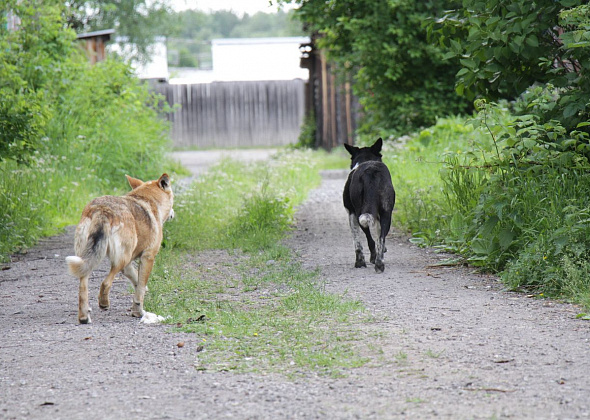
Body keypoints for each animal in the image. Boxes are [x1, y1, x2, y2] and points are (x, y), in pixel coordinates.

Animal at [67, 172, 175, 324]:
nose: (173, 213)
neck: (149, 200)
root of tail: (101, 210)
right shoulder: (148, 257)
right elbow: (140, 288)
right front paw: (138, 312)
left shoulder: (128, 265)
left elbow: (137, 282)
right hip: (120, 260)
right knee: (105, 283)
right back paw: (104, 303)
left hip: (86, 260)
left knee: (83, 287)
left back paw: (84, 318)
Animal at [342, 139, 398, 272]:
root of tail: (371, 171)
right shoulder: (377, 216)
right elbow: (378, 235)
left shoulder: (351, 214)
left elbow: (358, 241)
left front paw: (360, 262)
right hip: (386, 213)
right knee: (382, 238)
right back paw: (379, 263)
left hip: (359, 213)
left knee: (369, 238)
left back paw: (371, 260)